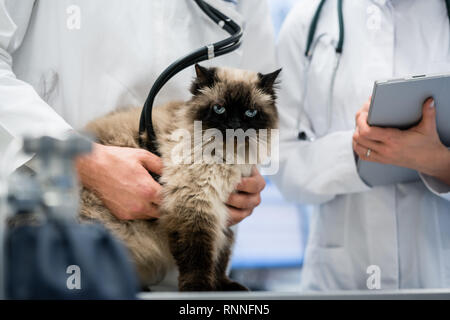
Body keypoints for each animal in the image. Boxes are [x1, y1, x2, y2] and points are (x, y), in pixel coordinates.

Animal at [79, 63, 280, 292]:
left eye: (250, 112)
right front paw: (199, 289)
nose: (234, 126)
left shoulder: (224, 210)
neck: (226, 158)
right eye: (219, 109)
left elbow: (220, 255)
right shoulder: (194, 205)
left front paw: (223, 285)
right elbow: (197, 256)